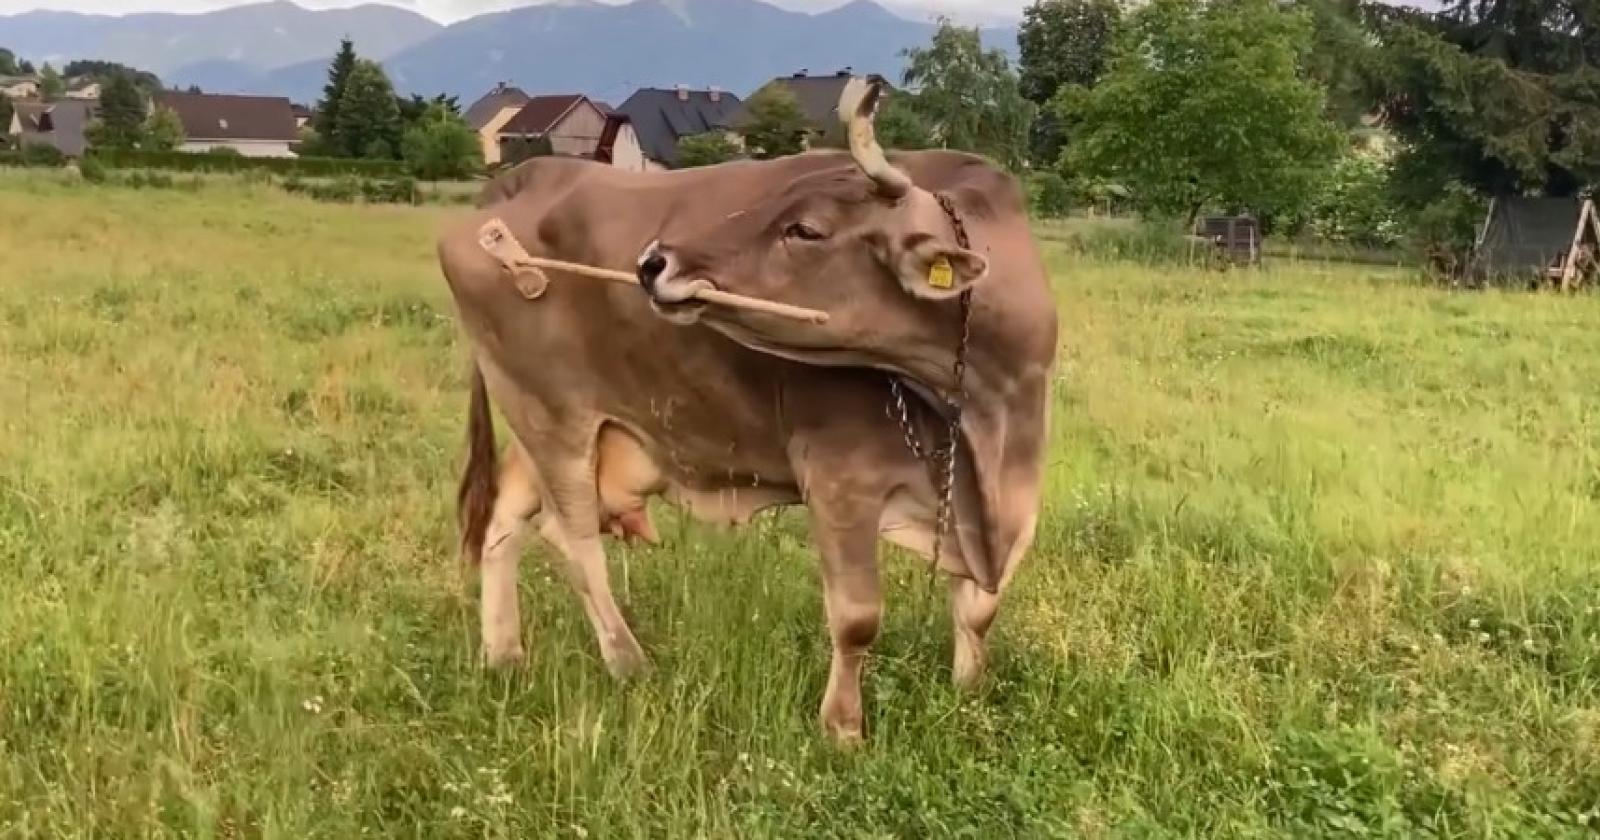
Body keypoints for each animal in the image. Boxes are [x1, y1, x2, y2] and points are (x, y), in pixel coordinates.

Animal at [437, 81, 1058, 742]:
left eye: (805, 228)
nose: (653, 262)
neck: (985, 421)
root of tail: (520, 178)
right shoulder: (840, 481)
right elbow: (857, 617)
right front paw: (842, 729)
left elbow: (978, 610)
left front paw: (968, 694)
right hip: (552, 417)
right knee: (574, 541)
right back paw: (629, 663)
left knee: (503, 520)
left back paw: (504, 655)